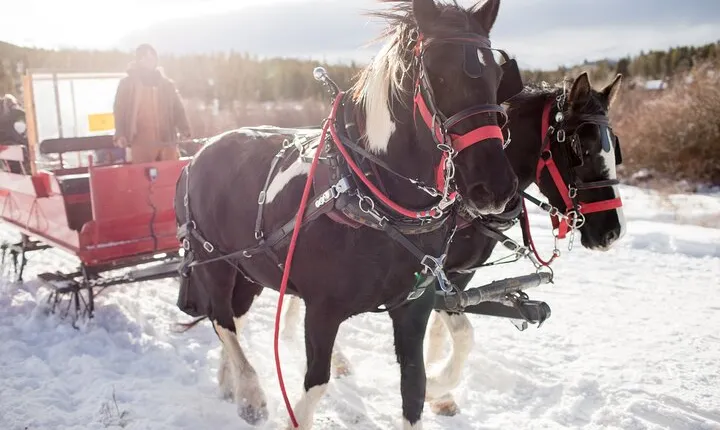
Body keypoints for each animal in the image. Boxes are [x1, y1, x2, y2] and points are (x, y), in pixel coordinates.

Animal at [174, 0, 521, 428]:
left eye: (496, 75)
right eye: (437, 73)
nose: (495, 187)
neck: (373, 194)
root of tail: (198, 154)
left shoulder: (415, 306)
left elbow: (415, 386)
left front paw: (436, 389)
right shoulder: (322, 309)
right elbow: (315, 385)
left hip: (250, 269)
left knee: (232, 319)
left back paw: (231, 383)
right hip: (214, 263)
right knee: (220, 318)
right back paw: (251, 391)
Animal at [281, 71, 627, 417]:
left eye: (615, 150)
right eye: (580, 149)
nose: (613, 232)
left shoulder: (458, 275)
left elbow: (440, 329)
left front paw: (436, 385)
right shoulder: (434, 274)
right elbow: (463, 333)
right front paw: (437, 384)